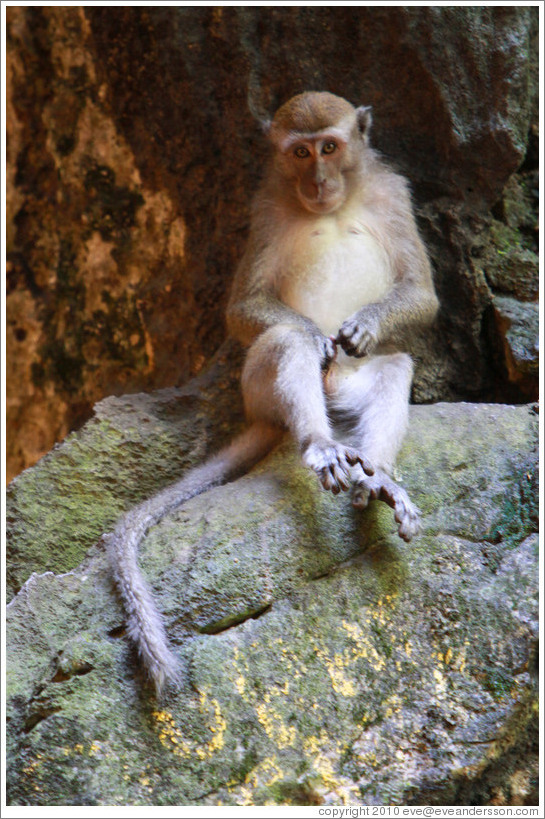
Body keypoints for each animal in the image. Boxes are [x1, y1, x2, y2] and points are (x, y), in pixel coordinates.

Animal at [106, 91, 438, 700]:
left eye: (329, 147)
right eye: (299, 152)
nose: (318, 179)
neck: (332, 208)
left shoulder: (393, 193)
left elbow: (420, 293)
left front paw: (366, 326)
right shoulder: (263, 208)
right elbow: (244, 309)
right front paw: (314, 336)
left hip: (347, 385)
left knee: (396, 364)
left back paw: (377, 476)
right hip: (256, 387)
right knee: (285, 343)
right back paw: (318, 442)